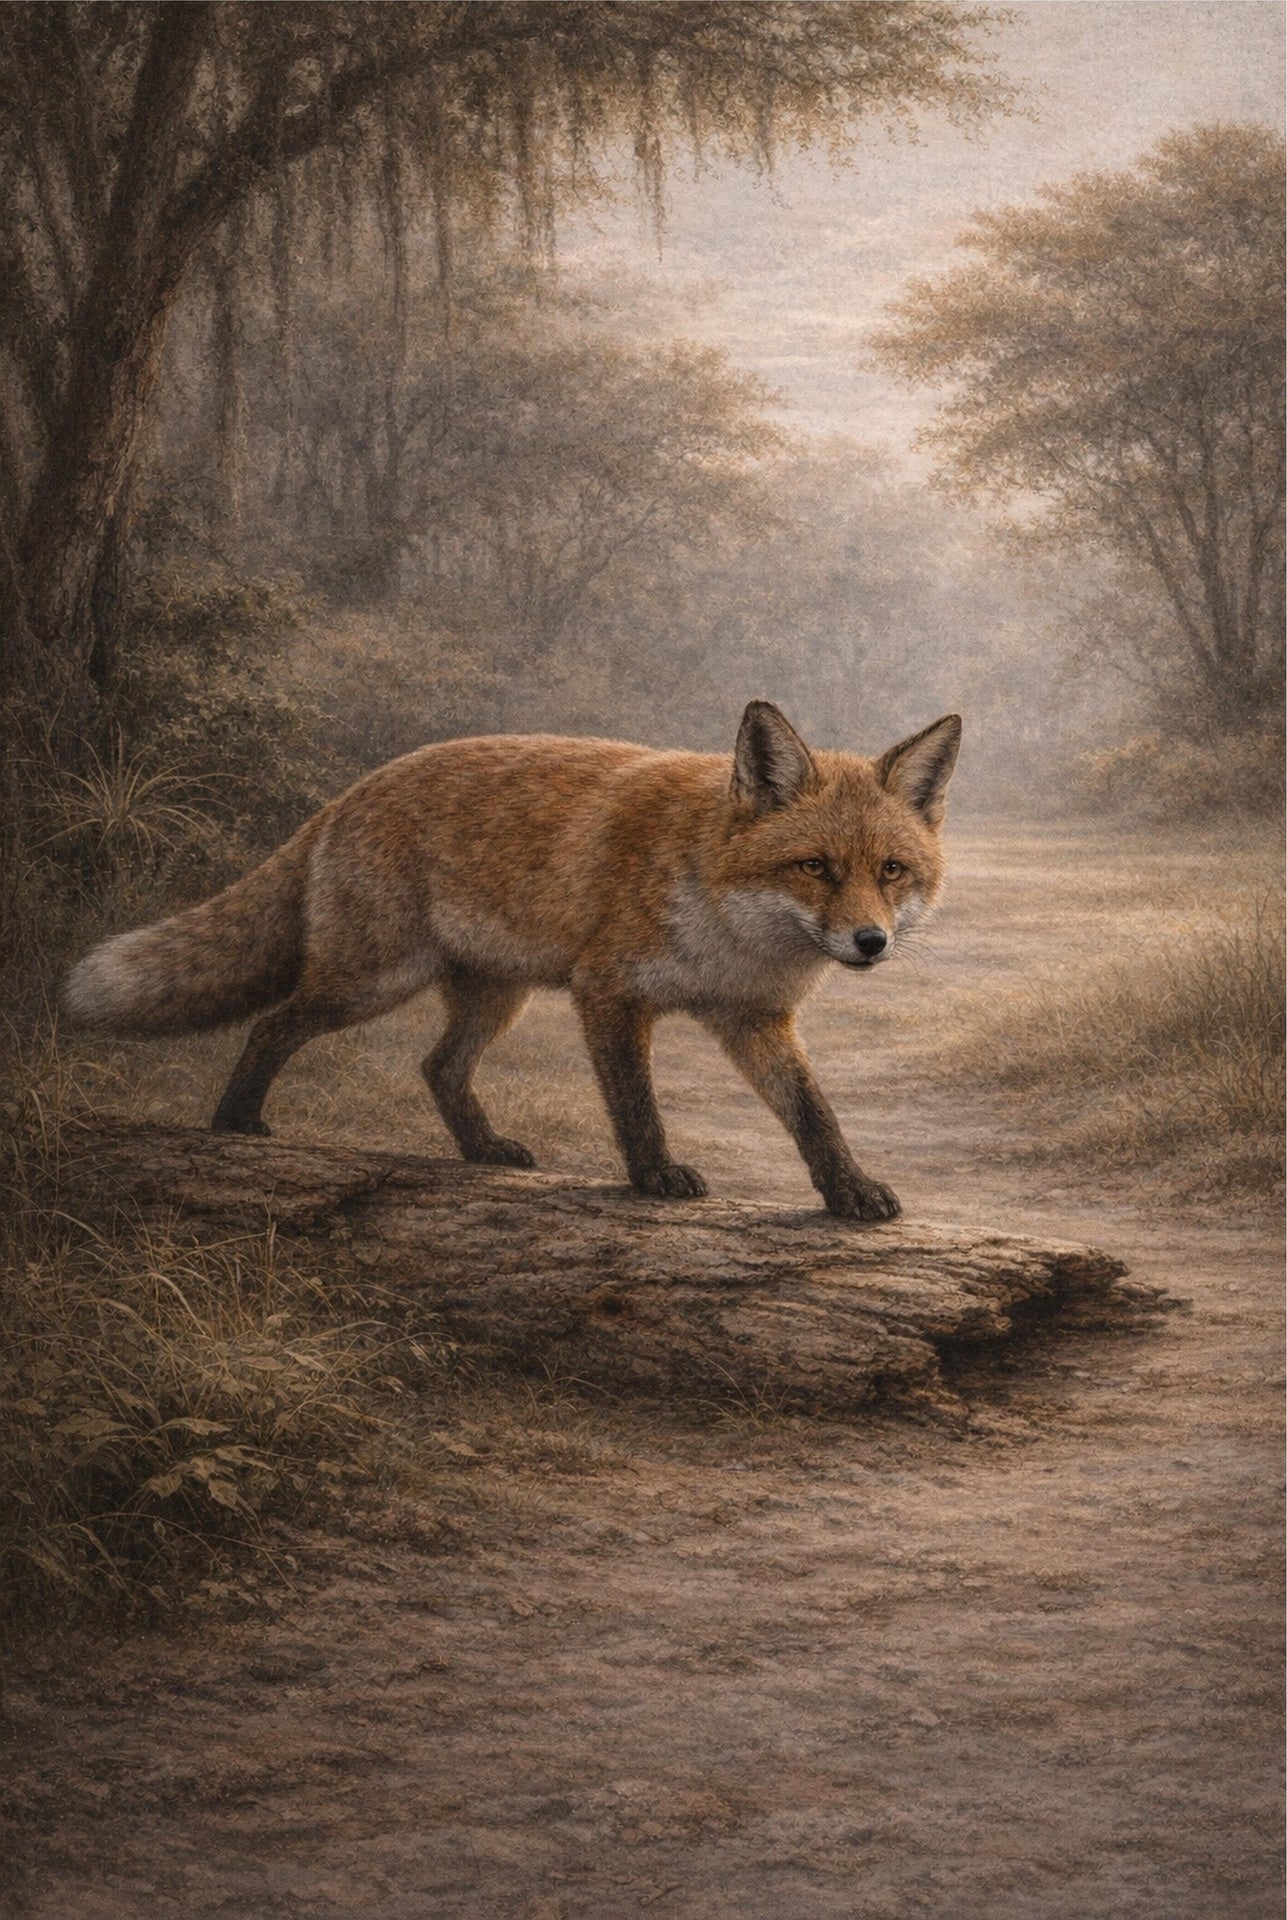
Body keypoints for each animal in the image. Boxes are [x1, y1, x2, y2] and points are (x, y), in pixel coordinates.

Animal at [64, 701, 960, 1220]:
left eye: (890, 871)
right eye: (814, 867)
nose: (870, 941)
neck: (731, 933)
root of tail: (353, 790)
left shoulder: (753, 1020)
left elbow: (812, 1113)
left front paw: (846, 1190)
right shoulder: (608, 993)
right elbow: (634, 1105)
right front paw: (654, 1177)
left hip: (498, 997)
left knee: (437, 1067)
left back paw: (481, 1149)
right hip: (369, 983)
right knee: (272, 1025)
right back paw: (235, 1122)